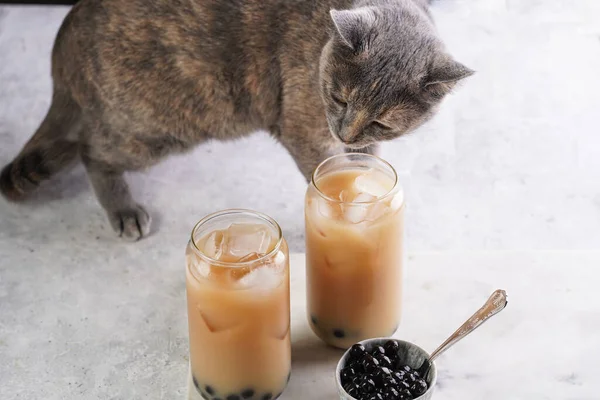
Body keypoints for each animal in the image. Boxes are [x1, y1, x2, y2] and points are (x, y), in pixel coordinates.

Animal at [0, 0, 474, 241]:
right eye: (339, 98)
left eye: (382, 123)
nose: (345, 130)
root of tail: (66, 32)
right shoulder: (303, 126)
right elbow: (326, 168)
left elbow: (364, 162)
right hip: (155, 128)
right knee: (89, 150)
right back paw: (124, 211)